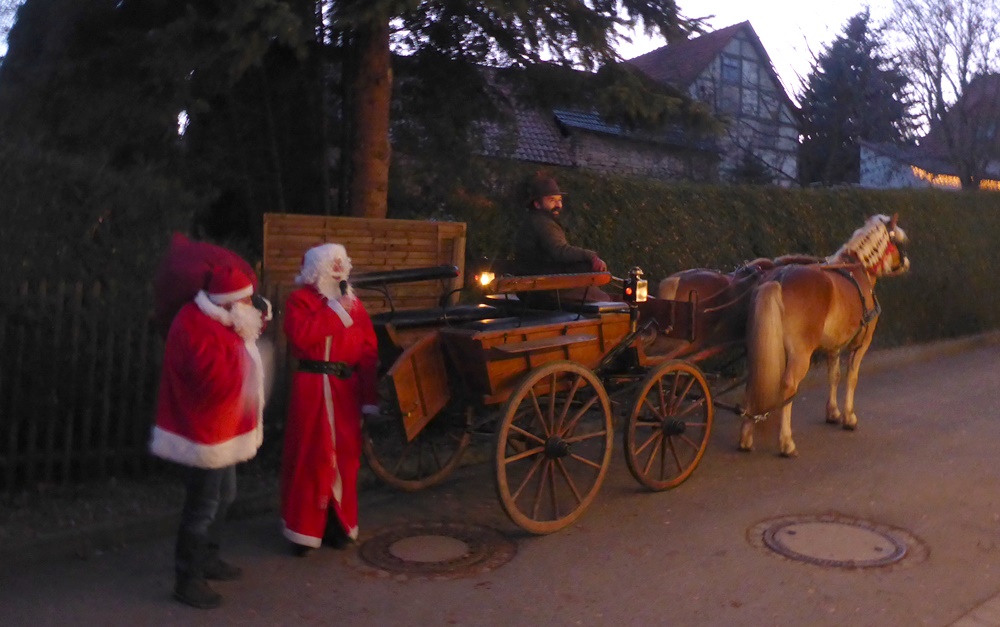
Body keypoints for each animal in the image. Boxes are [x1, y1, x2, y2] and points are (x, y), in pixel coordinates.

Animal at [740, 215, 912, 456]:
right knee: (788, 386)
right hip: (800, 355)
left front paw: (833, 413)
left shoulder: (834, 347)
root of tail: (779, 278)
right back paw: (786, 442)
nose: (907, 263)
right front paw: (849, 417)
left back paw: (746, 438)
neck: (857, 269)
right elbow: (851, 377)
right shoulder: (860, 345)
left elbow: (834, 376)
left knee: (753, 384)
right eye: (899, 241)